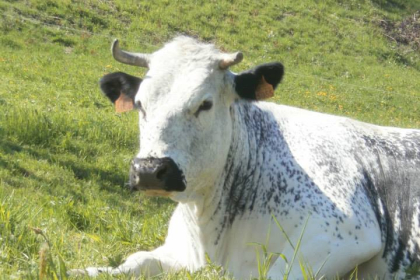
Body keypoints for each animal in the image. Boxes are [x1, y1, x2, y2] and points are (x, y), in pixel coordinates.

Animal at [69, 36, 420, 278]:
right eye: (140, 104)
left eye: (205, 104)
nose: (149, 169)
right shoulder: (177, 250)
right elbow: (134, 260)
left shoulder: (348, 235)